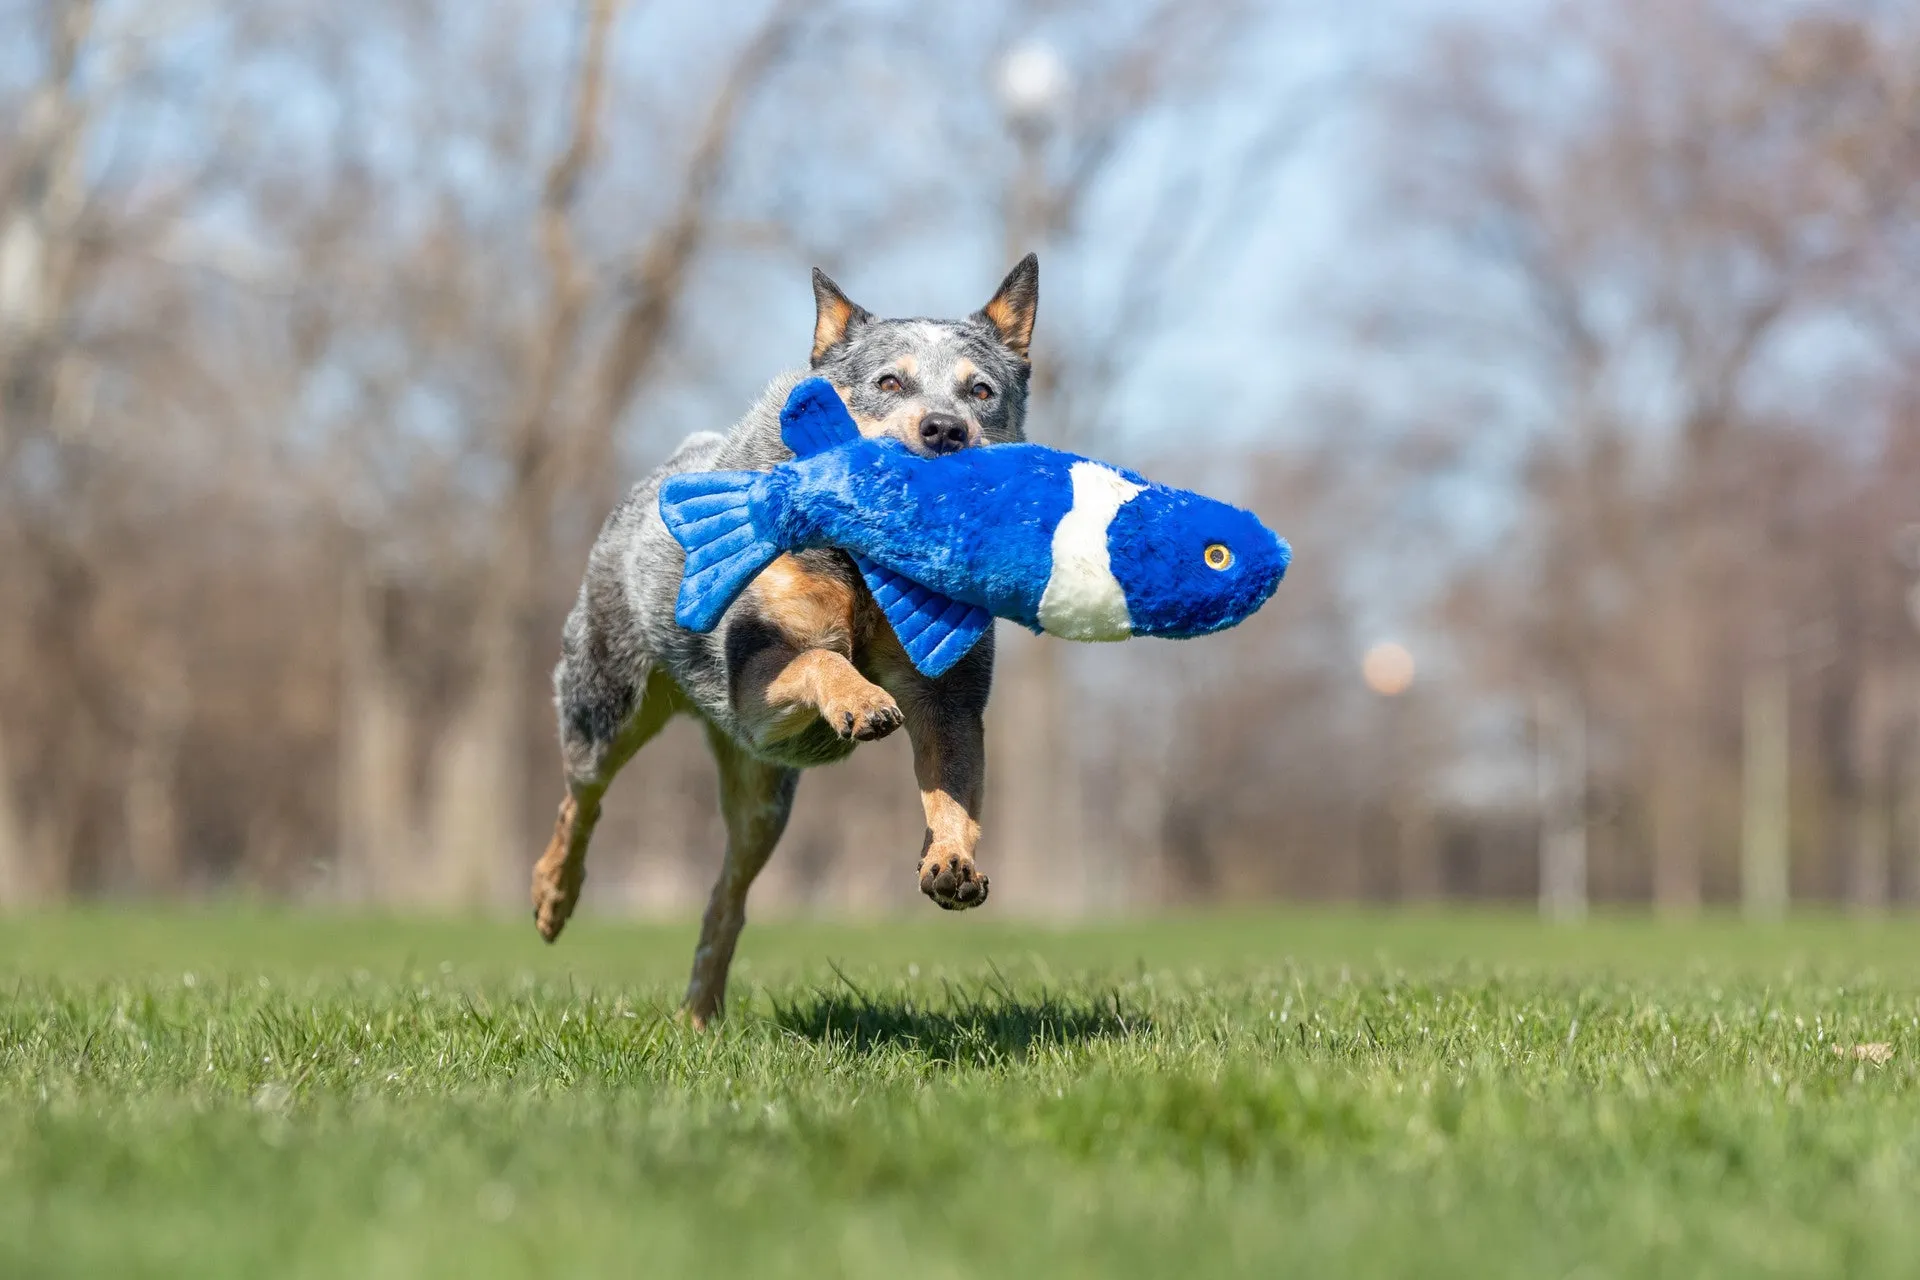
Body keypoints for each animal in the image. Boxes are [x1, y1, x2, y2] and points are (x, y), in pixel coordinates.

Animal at [526, 255, 1044, 1028]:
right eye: (889, 382)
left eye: (980, 391)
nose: (946, 430)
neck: (867, 568)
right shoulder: (755, 685)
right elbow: (821, 657)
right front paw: (862, 701)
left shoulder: (950, 695)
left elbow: (952, 786)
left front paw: (951, 863)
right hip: (606, 703)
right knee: (579, 799)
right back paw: (552, 898)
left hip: (764, 798)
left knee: (727, 898)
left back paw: (699, 1014)